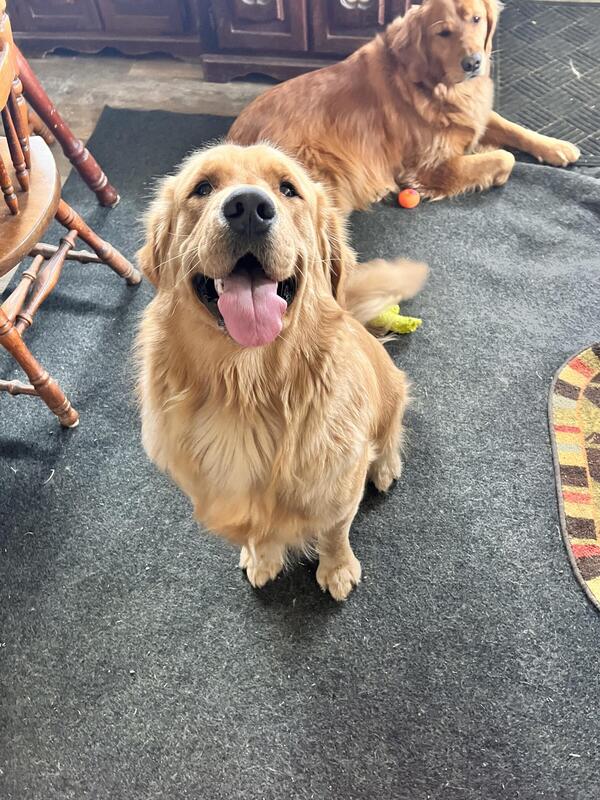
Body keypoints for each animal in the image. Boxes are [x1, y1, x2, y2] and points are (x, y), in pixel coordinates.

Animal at [136, 143, 427, 600]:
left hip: (392, 389)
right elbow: (259, 531)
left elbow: (335, 531)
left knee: (391, 432)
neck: (247, 388)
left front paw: (337, 569)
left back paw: (385, 467)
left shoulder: (341, 484)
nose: (248, 209)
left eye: (288, 189)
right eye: (202, 187)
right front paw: (262, 558)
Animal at [229, 0, 580, 213]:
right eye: (443, 32)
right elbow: (505, 157)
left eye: (477, 19)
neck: (432, 83)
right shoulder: (428, 166)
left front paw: (556, 147)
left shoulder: (475, 114)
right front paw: (492, 168)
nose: (473, 64)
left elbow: (513, 128)